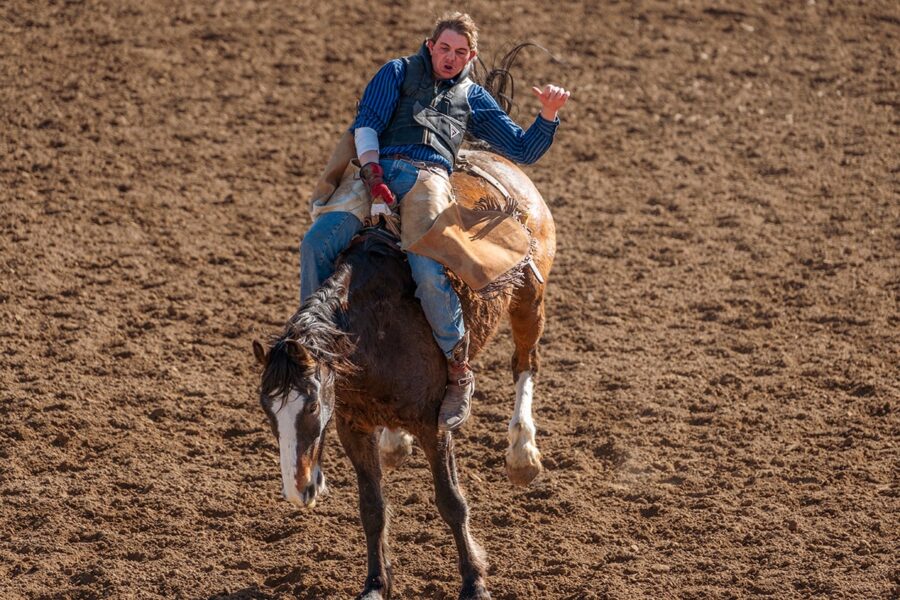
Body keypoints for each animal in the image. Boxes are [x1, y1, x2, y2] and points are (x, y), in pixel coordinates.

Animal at [252, 149, 555, 600]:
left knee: (525, 364)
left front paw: (474, 582)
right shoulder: (352, 427)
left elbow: (451, 502)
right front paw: (376, 584)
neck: (376, 326)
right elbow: (372, 507)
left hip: (529, 298)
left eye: (311, 407)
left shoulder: (435, 425)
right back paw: (395, 444)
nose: (297, 490)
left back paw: (522, 453)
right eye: (268, 413)